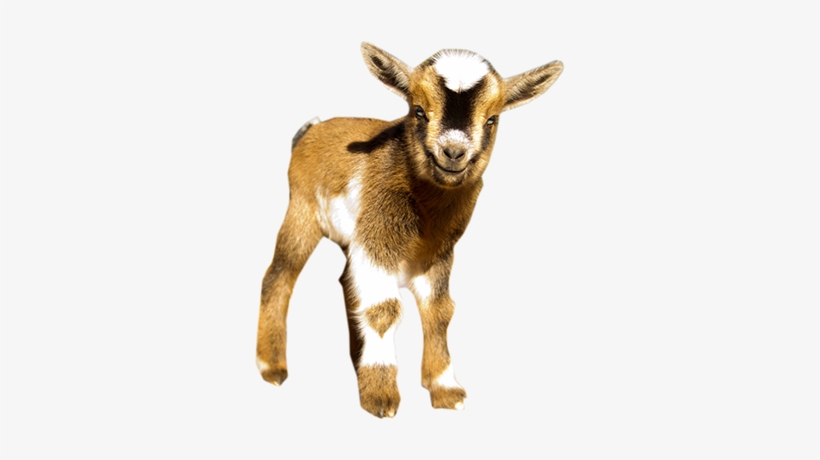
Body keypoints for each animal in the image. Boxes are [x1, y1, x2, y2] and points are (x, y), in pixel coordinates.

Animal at [256, 43, 562, 418]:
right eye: (418, 111)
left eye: (492, 119)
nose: (453, 151)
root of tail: (310, 130)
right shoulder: (379, 238)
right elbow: (384, 308)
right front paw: (381, 397)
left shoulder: (438, 253)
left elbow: (440, 310)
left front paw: (446, 389)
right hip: (302, 210)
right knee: (279, 275)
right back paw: (272, 368)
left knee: (345, 283)